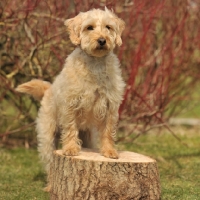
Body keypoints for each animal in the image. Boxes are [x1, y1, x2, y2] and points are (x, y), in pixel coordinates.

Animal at [16, 7, 125, 173]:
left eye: (108, 27)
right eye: (89, 27)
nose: (102, 40)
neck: (96, 63)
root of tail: (48, 89)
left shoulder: (110, 106)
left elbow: (108, 131)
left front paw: (109, 151)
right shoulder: (70, 104)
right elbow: (70, 128)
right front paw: (71, 149)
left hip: (88, 136)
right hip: (48, 134)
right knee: (49, 159)